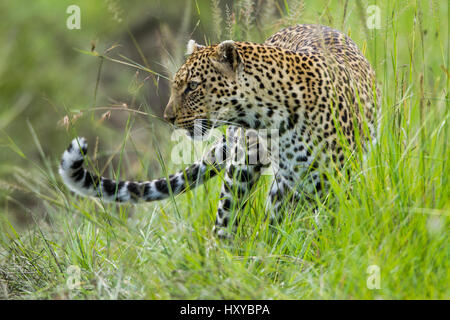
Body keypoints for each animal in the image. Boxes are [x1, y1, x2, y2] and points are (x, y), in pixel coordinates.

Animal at [58, 24, 378, 238]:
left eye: (193, 86)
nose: (168, 117)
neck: (272, 119)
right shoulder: (288, 180)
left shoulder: (336, 178)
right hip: (243, 169)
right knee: (228, 221)